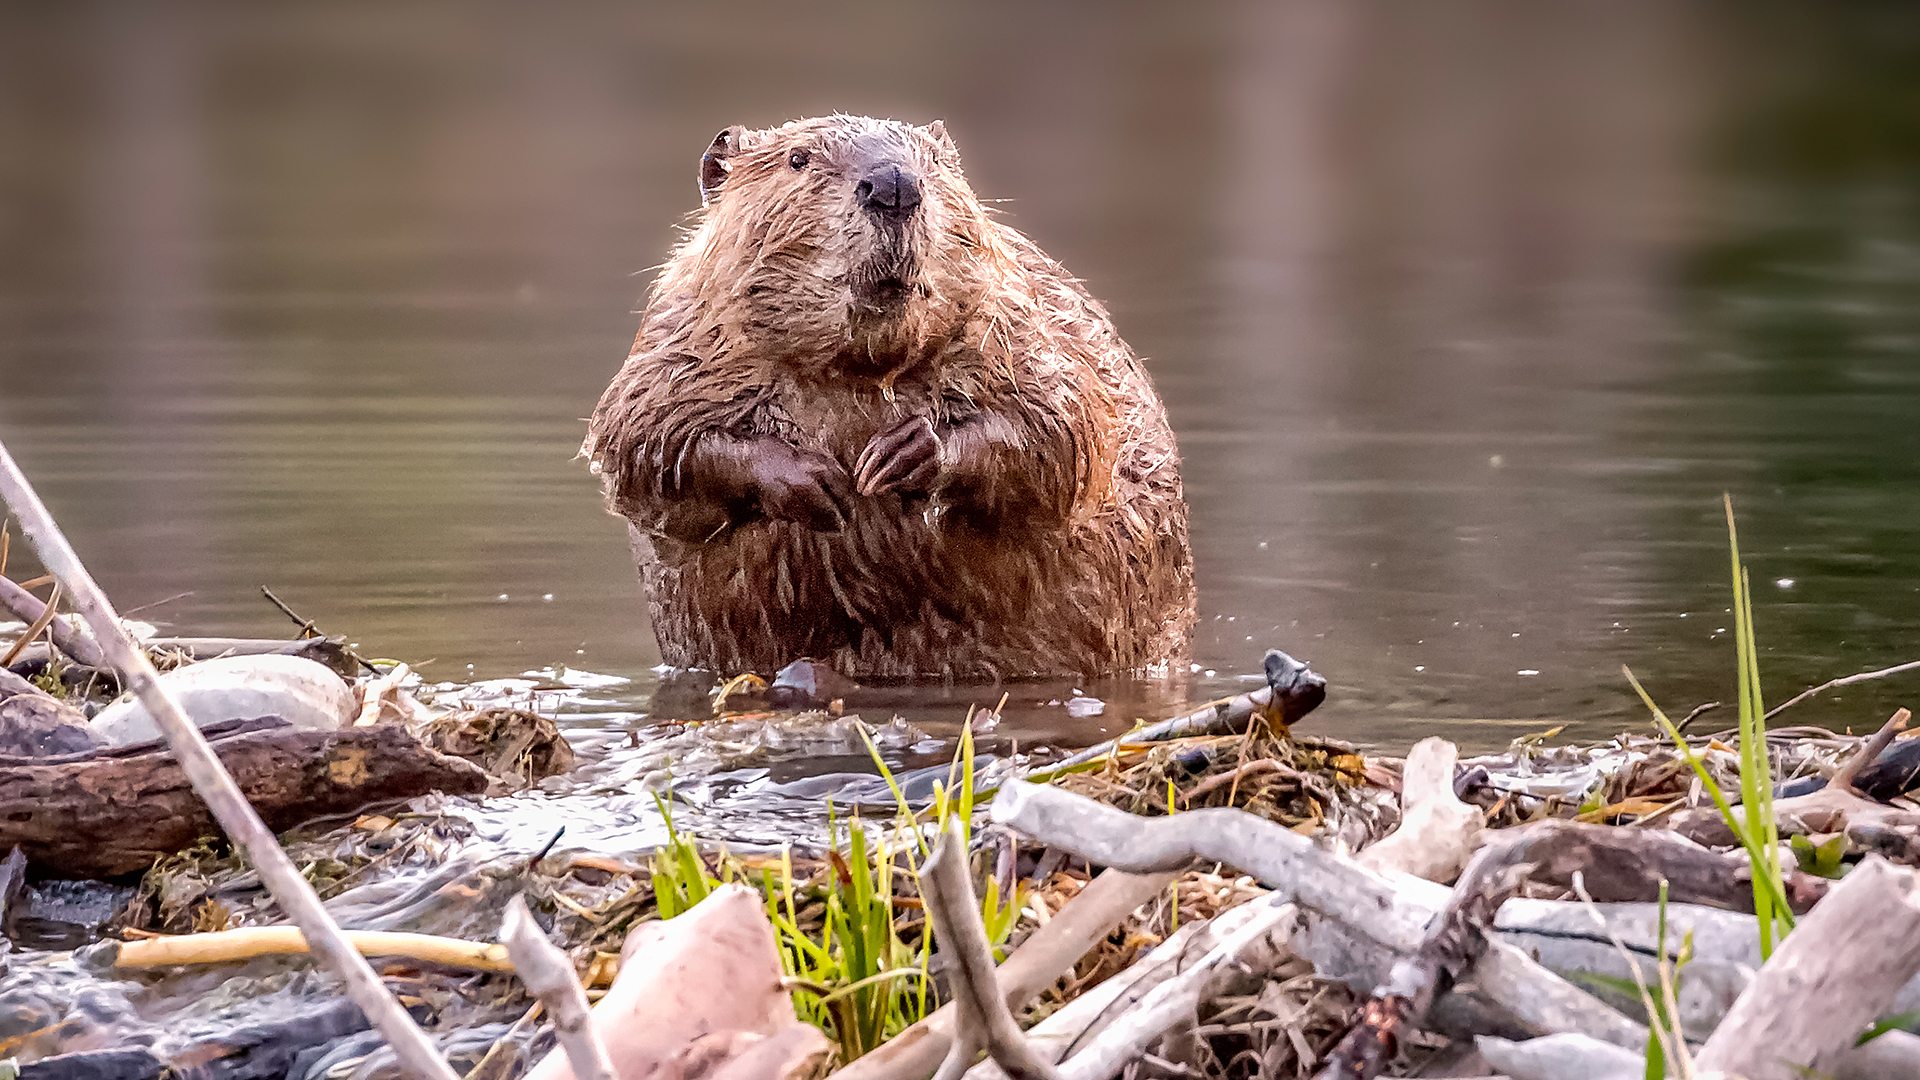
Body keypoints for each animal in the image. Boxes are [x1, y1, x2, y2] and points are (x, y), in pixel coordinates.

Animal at [583, 115, 1190, 672]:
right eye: (798, 159)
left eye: (935, 161)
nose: (894, 184)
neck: (856, 370)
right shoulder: (679, 341)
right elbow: (644, 444)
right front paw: (815, 479)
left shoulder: (1021, 323)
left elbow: (1067, 428)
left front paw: (900, 455)